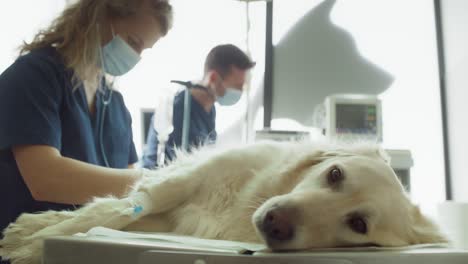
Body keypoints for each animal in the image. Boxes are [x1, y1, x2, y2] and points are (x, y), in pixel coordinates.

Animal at [0, 140, 446, 264]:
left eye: (358, 226)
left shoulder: (172, 219)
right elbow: (110, 211)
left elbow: (112, 215)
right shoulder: (182, 182)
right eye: (335, 174)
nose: (276, 222)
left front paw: (30, 244)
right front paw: (31, 243)